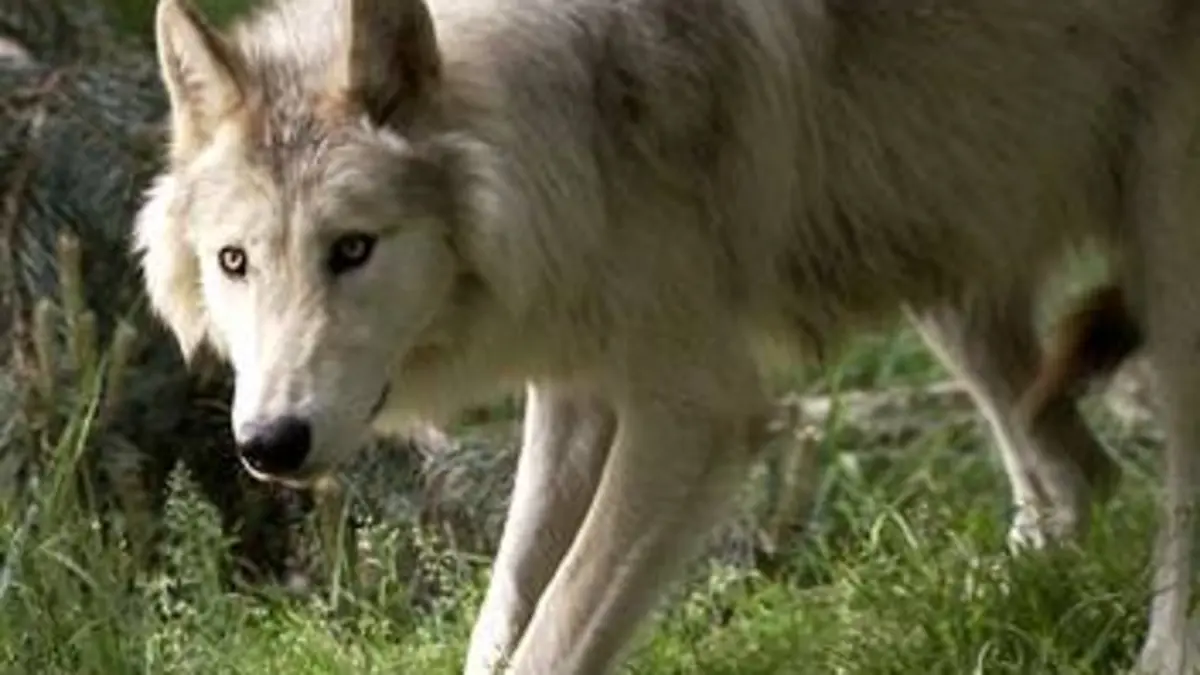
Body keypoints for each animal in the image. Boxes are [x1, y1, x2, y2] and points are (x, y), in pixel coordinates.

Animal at [134, 0, 1200, 672]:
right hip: (930, 249)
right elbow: (503, 612)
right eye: (235, 261)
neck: (576, 117)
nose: (269, 443)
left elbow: (556, 628)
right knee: (1078, 476)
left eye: (352, 248)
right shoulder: (574, 383)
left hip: (1159, 258)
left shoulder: (696, 412)